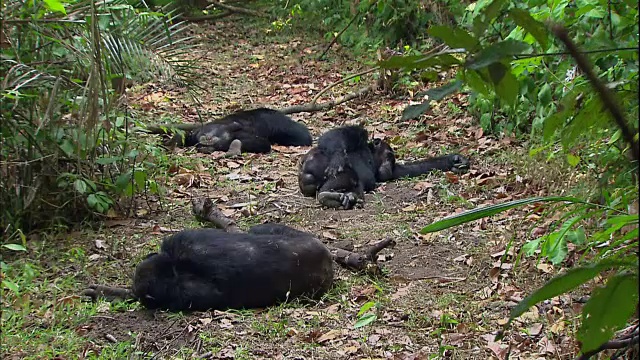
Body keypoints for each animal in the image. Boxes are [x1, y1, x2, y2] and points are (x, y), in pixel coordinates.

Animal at [296, 125, 470, 210]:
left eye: (392, 160)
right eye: (388, 155)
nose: (388, 164)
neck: (371, 156)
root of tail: (302, 173)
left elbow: (404, 171)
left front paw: (454, 161)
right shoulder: (360, 134)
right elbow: (333, 136)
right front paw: (337, 159)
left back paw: (345, 198)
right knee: (349, 176)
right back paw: (329, 195)